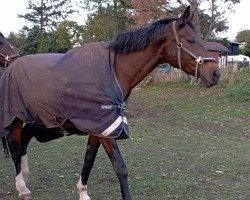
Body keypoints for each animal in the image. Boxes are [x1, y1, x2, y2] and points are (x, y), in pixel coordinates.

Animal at [0, 6, 221, 200]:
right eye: (190, 40)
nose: (215, 74)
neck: (114, 70)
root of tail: (12, 65)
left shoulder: (100, 128)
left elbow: (89, 160)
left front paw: (83, 193)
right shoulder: (106, 130)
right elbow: (120, 168)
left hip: (40, 120)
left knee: (24, 142)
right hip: (17, 119)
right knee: (16, 147)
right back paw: (22, 188)